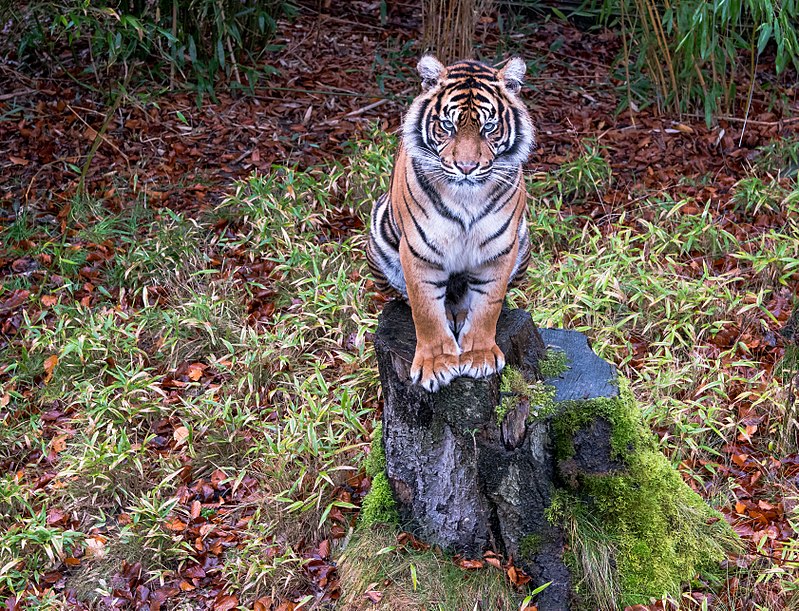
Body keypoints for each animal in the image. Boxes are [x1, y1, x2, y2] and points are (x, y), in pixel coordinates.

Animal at [368, 56, 536, 392]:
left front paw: (479, 355)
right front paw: (435, 365)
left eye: (489, 127)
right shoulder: (418, 250)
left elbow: (488, 306)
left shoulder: (500, 248)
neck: (466, 197)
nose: (467, 167)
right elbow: (425, 310)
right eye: (448, 126)